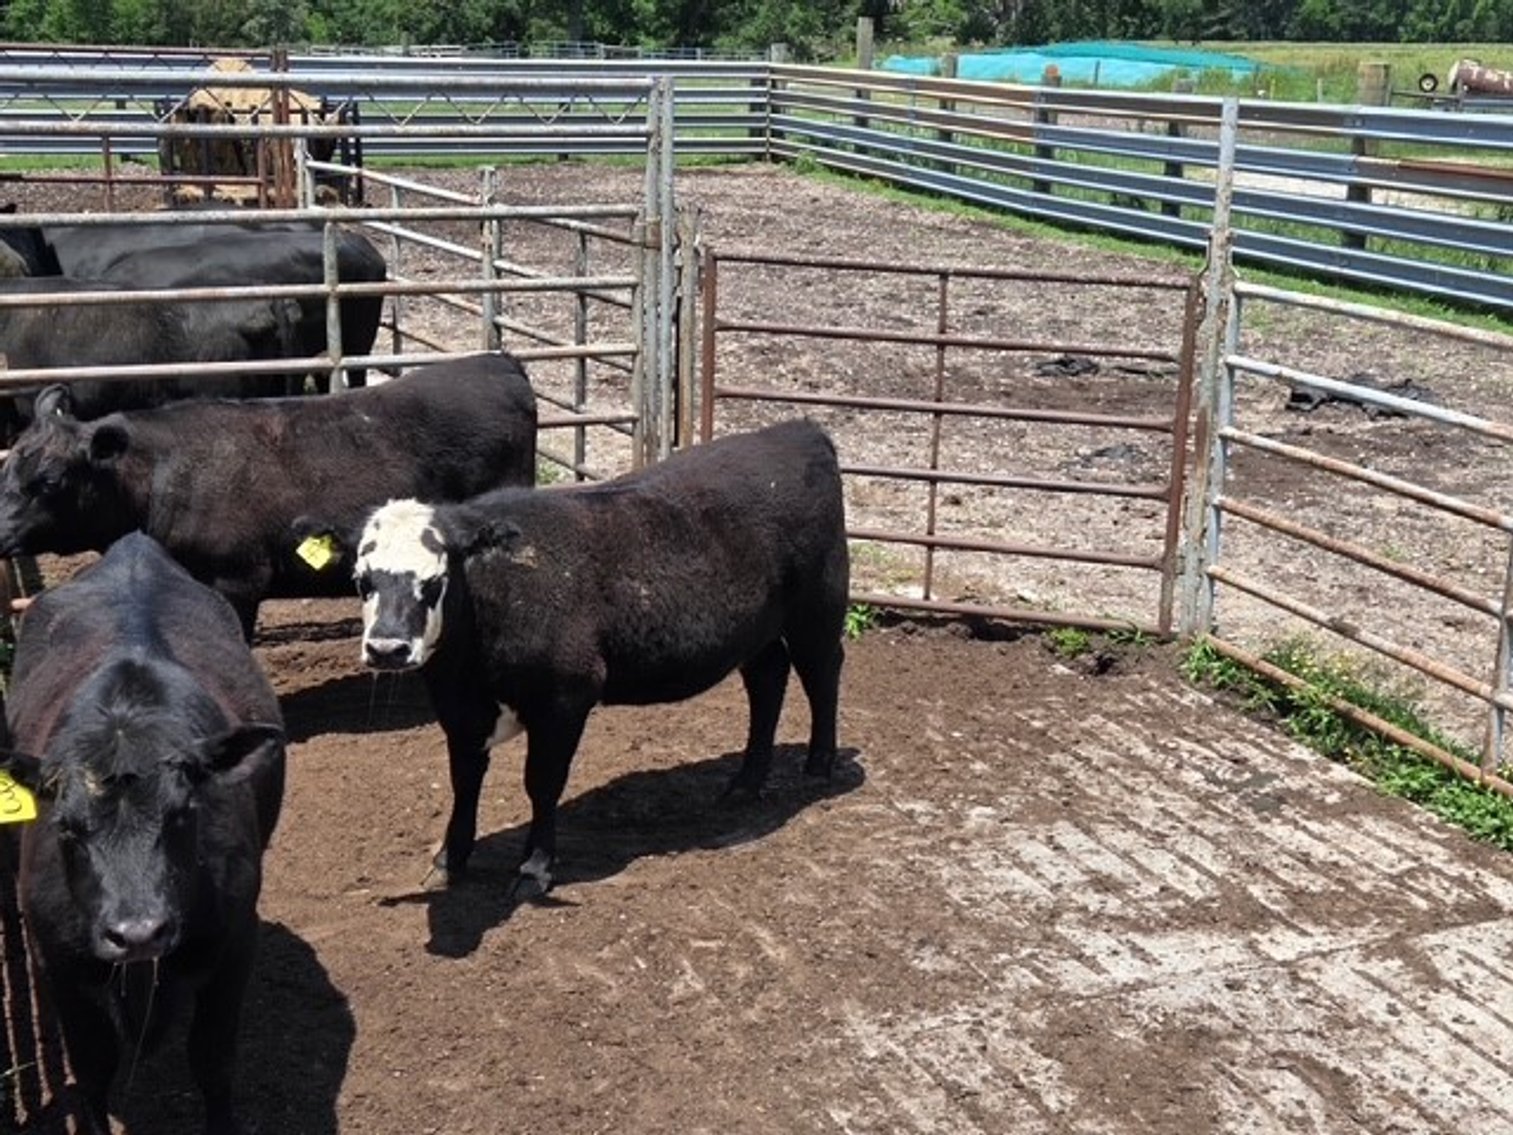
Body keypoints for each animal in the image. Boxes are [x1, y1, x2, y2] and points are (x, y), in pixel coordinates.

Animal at [1, 531, 285, 1135]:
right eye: (66, 827)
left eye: (182, 813)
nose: (137, 933)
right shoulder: (55, 959)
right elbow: (92, 1069)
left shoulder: (234, 941)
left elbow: (212, 1060)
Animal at [345, 418, 849, 896]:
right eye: (362, 580)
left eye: (434, 581)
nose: (387, 649)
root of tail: (799, 431)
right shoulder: (460, 710)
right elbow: (465, 781)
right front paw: (449, 861)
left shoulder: (564, 699)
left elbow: (542, 783)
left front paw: (534, 868)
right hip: (757, 632)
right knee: (769, 678)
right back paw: (746, 781)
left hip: (819, 607)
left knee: (822, 672)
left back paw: (818, 766)